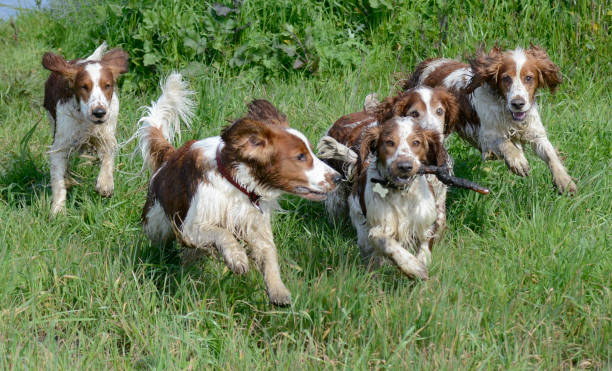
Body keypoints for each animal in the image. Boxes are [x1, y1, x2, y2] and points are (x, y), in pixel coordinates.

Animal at [41, 42, 129, 215]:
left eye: (107, 85)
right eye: (84, 87)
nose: (99, 112)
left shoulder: (106, 133)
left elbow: (108, 156)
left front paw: (105, 184)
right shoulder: (60, 144)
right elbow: (58, 180)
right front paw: (58, 210)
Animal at [136, 74, 342, 306]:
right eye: (300, 156)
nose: (338, 177)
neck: (236, 183)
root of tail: (168, 157)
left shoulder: (255, 222)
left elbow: (269, 254)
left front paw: (278, 291)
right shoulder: (190, 227)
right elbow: (222, 232)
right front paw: (237, 257)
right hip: (156, 226)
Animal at [404, 45, 576, 193]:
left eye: (529, 78)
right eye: (506, 78)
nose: (518, 103)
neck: (506, 111)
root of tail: (427, 64)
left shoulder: (534, 131)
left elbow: (551, 155)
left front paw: (564, 181)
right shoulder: (486, 137)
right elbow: (504, 142)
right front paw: (518, 161)